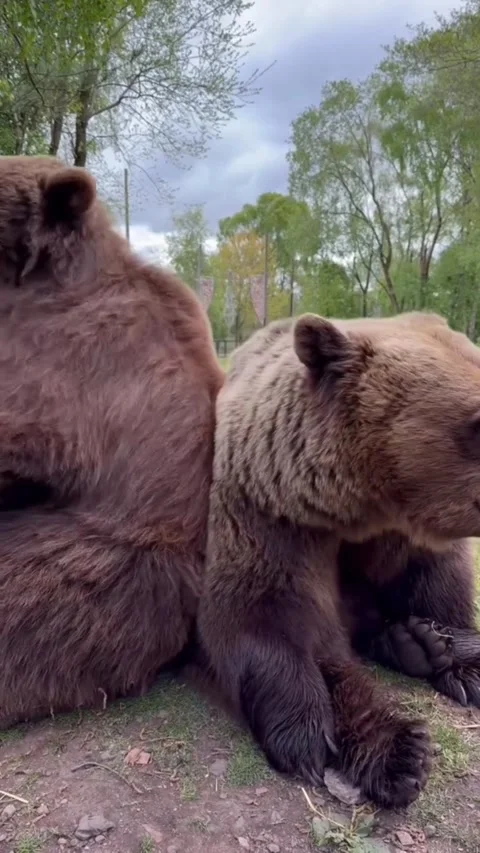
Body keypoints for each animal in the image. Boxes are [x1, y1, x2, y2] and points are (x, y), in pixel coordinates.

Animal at [197, 311, 480, 809]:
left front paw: (462, 663)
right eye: (479, 423)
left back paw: (417, 643)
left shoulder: (409, 536)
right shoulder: (271, 514)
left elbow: (442, 585)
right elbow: (261, 616)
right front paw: (315, 736)